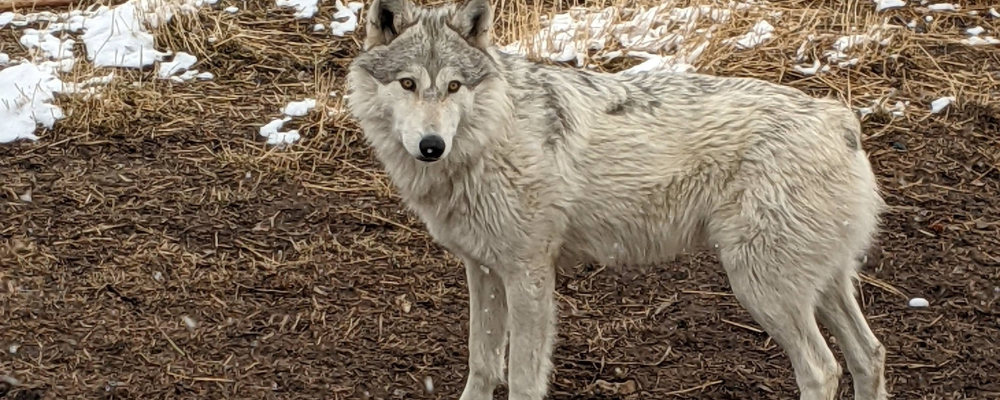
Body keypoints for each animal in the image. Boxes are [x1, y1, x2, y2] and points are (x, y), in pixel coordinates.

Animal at [345, 0, 889, 399]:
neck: (491, 137)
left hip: (761, 289)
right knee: (870, 355)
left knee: (822, 370)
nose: (431, 146)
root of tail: (839, 120)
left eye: (454, 86)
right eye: (409, 84)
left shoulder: (528, 275)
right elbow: (482, 366)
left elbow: (521, 378)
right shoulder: (482, 271)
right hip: (818, 286)